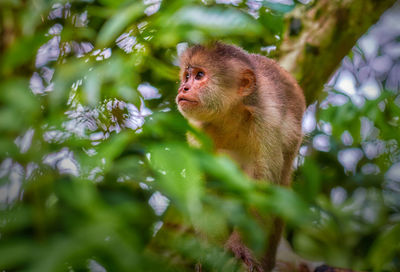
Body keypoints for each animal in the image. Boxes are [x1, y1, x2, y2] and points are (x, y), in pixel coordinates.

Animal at [176, 41, 306, 270]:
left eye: (199, 75)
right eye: (187, 76)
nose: (184, 88)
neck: (231, 115)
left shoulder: (267, 121)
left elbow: (261, 192)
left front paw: (239, 248)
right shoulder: (197, 130)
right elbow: (206, 188)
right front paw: (210, 252)